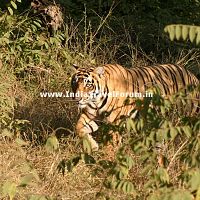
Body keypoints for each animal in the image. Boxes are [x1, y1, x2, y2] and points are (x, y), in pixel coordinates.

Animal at [71, 63, 199, 150]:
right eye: (74, 83)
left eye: (88, 85)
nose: (77, 98)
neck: (95, 101)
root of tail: (193, 75)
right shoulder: (91, 116)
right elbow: (78, 128)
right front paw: (93, 146)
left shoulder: (115, 122)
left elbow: (112, 142)